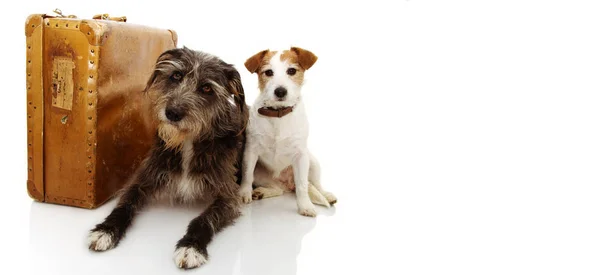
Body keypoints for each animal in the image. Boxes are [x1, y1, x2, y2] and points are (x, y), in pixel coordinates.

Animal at [240, 47, 338, 218]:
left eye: (291, 71)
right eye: (268, 72)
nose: (280, 91)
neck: (278, 114)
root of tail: (287, 184)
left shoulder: (301, 155)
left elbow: (302, 185)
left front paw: (305, 205)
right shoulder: (251, 151)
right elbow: (247, 175)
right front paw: (244, 193)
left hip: (312, 163)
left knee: (314, 184)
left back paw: (326, 195)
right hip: (261, 173)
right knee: (278, 189)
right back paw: (260, 192)